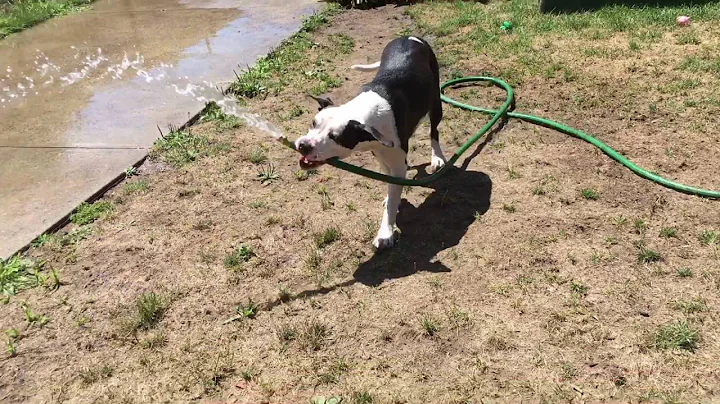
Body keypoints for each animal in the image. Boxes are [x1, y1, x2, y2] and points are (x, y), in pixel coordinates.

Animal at [294, 35, 444, 249]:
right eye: (314, 122)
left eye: (335, 137)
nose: (303, 145)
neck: (364, 116)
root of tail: (410, 36)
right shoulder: (382, 156)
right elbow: (391, 185)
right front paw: (391, 199)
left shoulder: (397, 163)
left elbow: (392, 198)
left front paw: (385, 233)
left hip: (435, 102)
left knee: (434, 130)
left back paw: (437, 157)